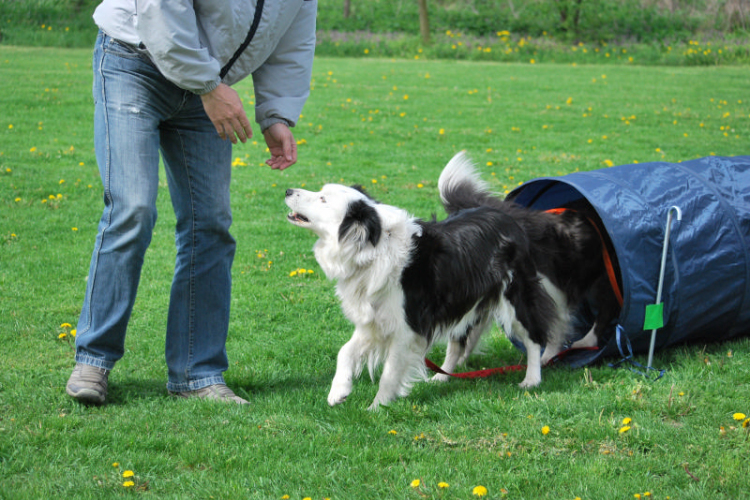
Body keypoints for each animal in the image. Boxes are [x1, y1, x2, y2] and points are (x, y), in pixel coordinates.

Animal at [284, 152, 620, 410]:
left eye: (323, 198)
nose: (287, 190)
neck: (373, 244)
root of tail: (505, 214)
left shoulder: (408, 325)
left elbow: (390, 370)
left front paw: (377, 406)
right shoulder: (375, 317)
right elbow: (345, 351)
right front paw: (338, 392)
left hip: (514, 295)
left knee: (535, 336)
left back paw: (532, 378)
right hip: (465, 301)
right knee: (459, 344)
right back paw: (443, 376)